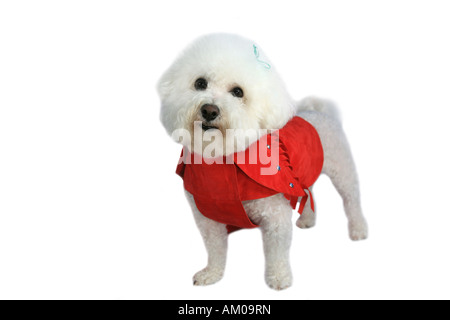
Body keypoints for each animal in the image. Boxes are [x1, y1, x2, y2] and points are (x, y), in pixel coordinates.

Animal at [156, 33, 368, 292]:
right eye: (200, 83)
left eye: (238, 92)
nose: (209, 110)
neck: (222, 157)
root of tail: (318, 111)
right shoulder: (208, 220)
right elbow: (215, 249)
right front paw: (212, 274)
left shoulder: (275, 216)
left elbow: (276, 251)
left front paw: (279, 278)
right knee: (309, 193)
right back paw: (308, 219)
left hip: (342, 170)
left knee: (351, 200)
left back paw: (358, 229)